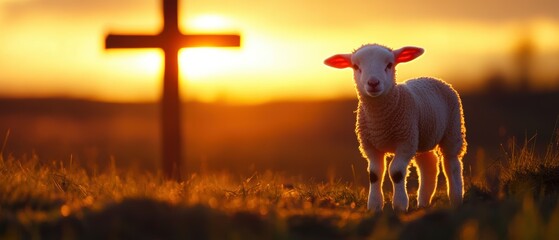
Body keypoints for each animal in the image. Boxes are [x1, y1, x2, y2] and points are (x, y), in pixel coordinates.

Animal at [324, 43, 468, 212]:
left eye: (389, 65)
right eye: (356, 66)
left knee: (452, 164)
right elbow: (375, 174)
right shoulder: (370, 146)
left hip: (453, 128)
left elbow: (396, 172)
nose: (373, 83)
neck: (380, 121)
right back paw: (423, 202)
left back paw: (456, 198)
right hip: (421, 137)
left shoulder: (405, 142)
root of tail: (431, 78)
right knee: (429, 164)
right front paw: (374, 205)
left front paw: (399, 205)